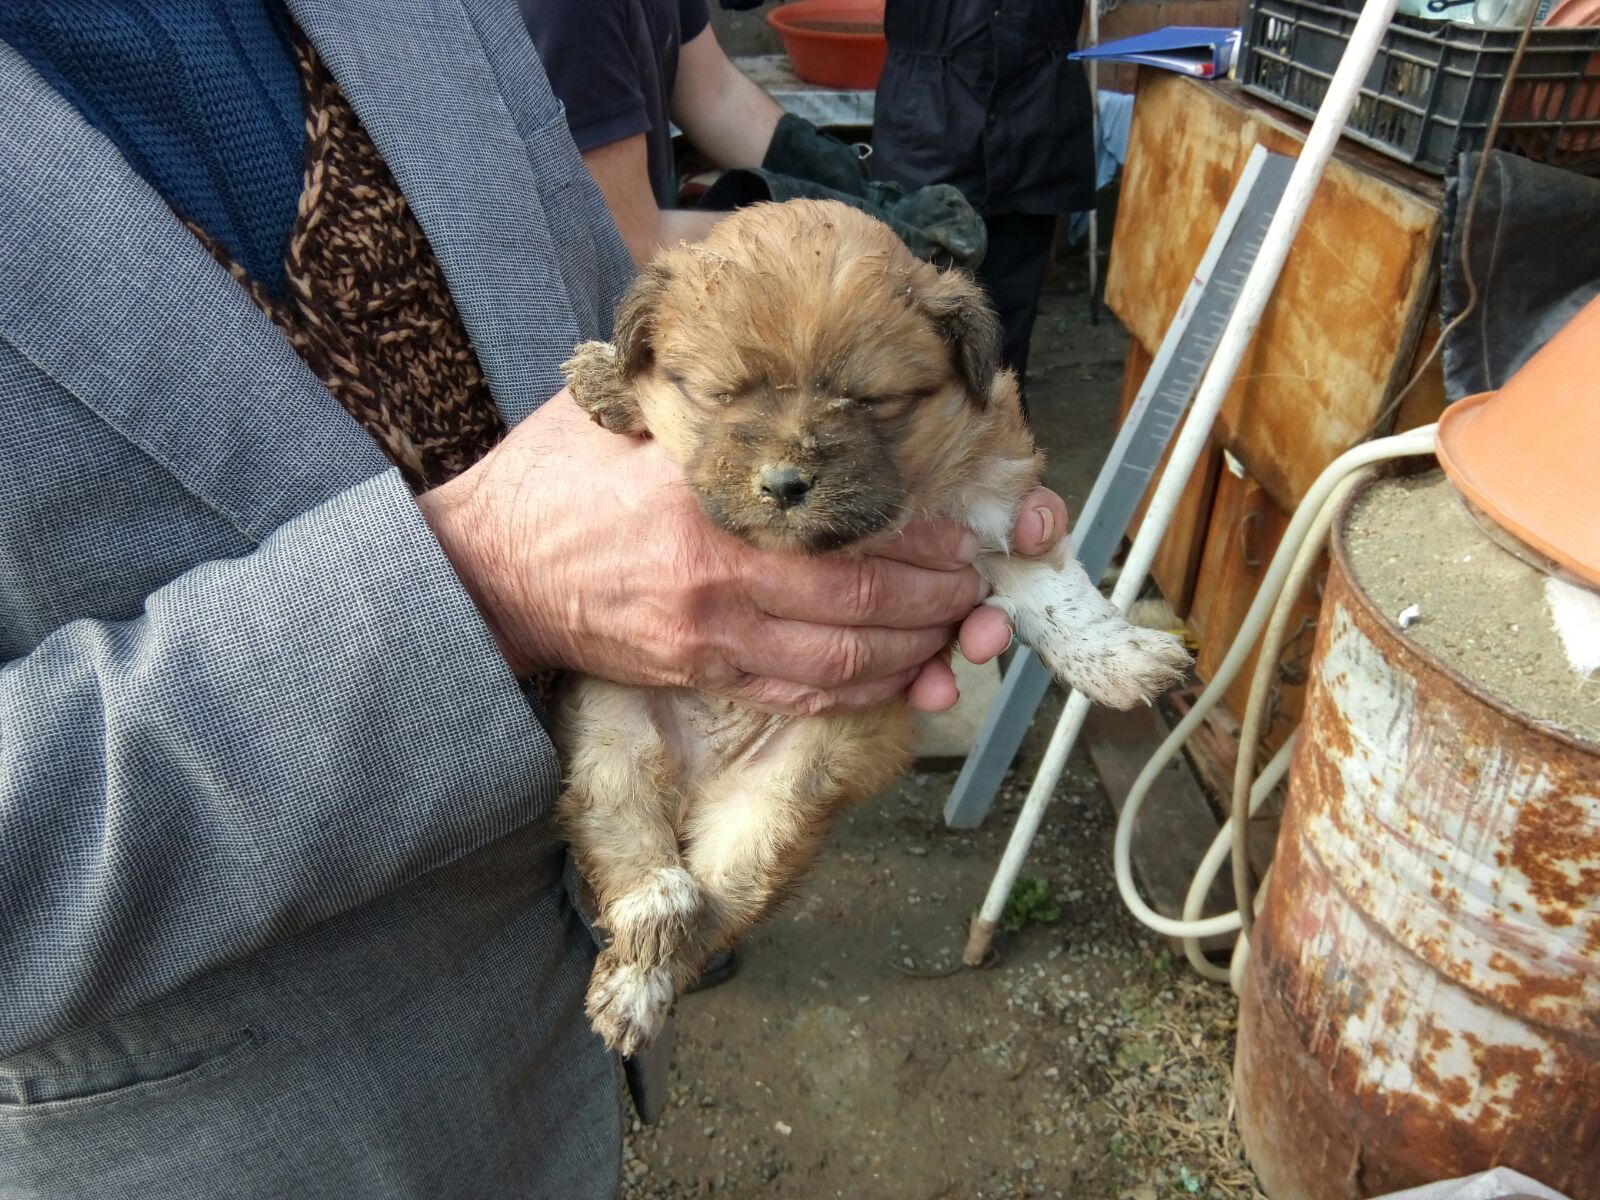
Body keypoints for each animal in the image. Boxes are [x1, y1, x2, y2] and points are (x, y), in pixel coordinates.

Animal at [557, 200, 1189, 1055]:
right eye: (724, 394)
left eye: (868, 401)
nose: (785, 483)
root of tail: (698, 778)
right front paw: (607, 377)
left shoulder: (993, 511)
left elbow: (1058, 594)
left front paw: (1122, 657)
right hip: (611, 743)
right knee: (634, 856)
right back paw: (644, 943)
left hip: (773, 811)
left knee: (715, 906)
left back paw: (648, 972)